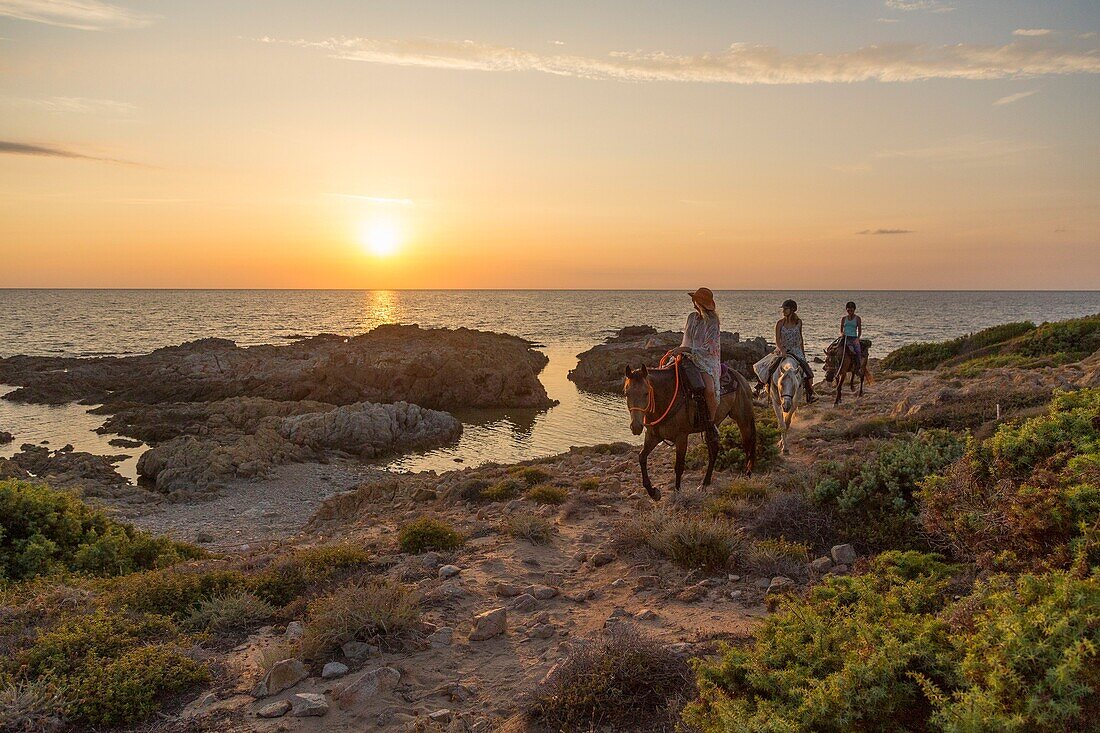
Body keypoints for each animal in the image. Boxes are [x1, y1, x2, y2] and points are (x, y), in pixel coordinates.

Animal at [620, 356, 756, 499]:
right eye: (626, 393)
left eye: (646, 393)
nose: (636, 427)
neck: (667, 397)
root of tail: (741, 378)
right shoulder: (653, 436)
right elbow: (642, 457)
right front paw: (653, 492)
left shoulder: (681, 437)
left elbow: (679, 466)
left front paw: (677, 492)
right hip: (712, 426)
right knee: (714, 450)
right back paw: (704, 484)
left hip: (743, 419)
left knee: (748, 444)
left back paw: (747, 476)